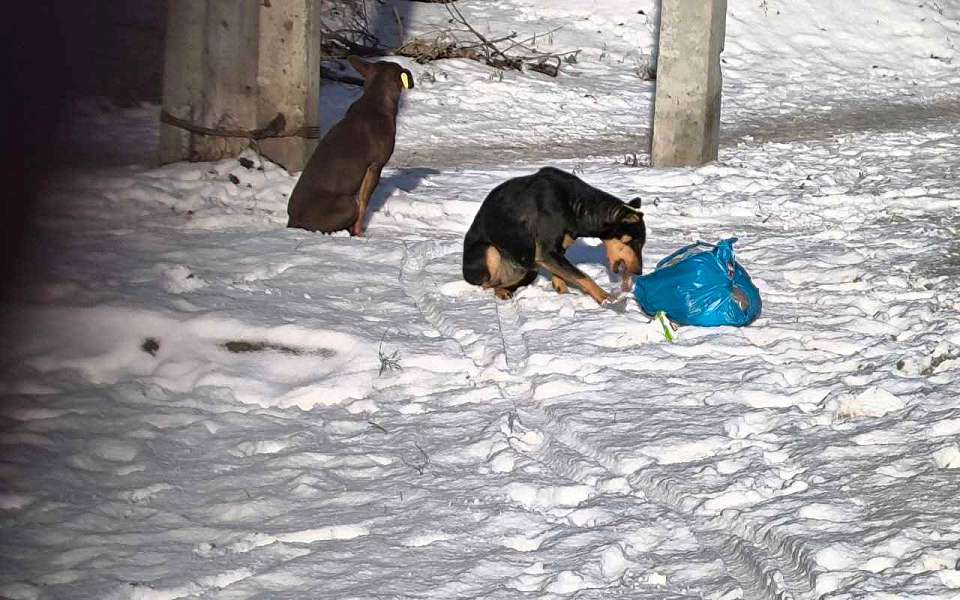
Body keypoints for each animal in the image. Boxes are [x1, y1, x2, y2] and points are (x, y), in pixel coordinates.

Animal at [288, 55, 416, 236]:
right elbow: (363, 202)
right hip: (347, 204)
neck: (376, 100)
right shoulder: (375, 166)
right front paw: (359, 233)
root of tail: (292, 222)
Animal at [460, 168, 640, 304]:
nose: (638, 272)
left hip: (528, 267)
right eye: (633, 242)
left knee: (501, 283)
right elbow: (582, 275)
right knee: (488, 284)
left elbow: (561, 275)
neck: (578, 205)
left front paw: (564, 295)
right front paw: (605, 298)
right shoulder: (547, 252)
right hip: (492, 251)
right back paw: (501, 292)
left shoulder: (555, 252)